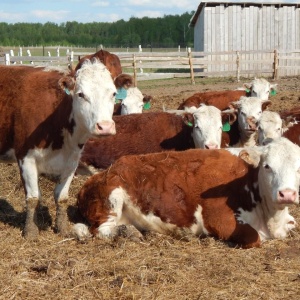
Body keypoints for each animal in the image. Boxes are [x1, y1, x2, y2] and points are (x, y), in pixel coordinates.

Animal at [0, 59, 120, 240]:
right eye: (81, 94)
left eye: (113, 94)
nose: (105, 126)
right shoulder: (25, 157)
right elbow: (33, 198)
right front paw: (31, 232)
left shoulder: (72, 160)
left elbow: (61, 197)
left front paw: (62, 228)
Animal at [73, 138, 300, 248]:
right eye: (267, 166)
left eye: (299, 167)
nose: (287, 194)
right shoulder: (218, 219)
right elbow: (254, 238)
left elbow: (293, 223)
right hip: (112, 198)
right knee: (99, 231)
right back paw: (130, 233)